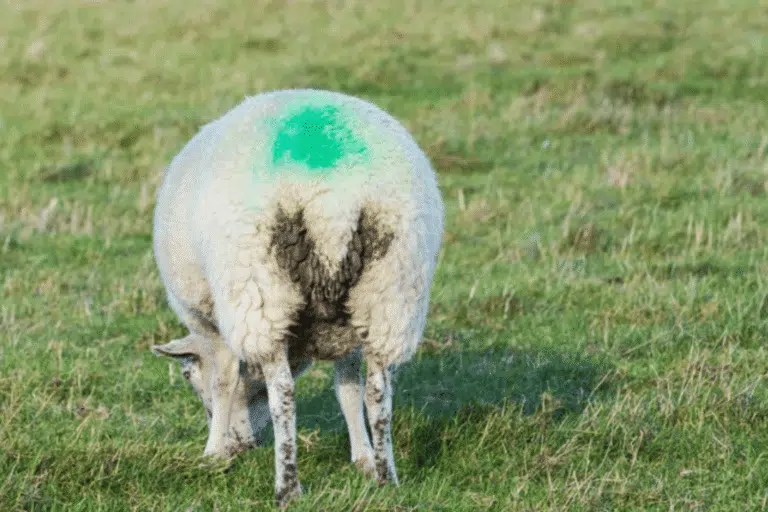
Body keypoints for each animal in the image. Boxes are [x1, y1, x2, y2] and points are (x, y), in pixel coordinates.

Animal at [150, 88, 444, 506]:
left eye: (187, 375)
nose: (243, 446)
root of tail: (335, 200)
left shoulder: (213, 324)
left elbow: (224, 383)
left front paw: (213, 453)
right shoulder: (346, 332)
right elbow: (347, 391)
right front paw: (363, 458)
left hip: (260, 290)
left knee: (284, 396)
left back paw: (287, 487)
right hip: (390, 291)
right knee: (379, 392)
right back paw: (387, 478)